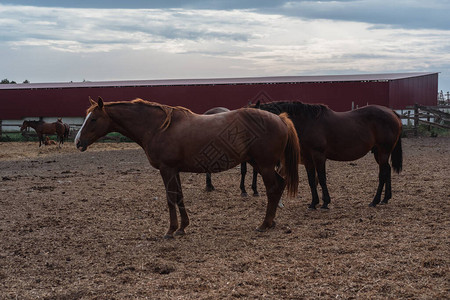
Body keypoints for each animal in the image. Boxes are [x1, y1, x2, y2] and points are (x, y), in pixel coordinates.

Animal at [75, 97, 300, 238]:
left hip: (264, 165)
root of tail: (280, 119)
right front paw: (183, 227)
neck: (158, 127)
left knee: (273, 189)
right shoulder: (175, 170)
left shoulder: (166, 169)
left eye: (93, 119)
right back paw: (271, 222)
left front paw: (170, 230)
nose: (78, 142)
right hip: (260, 164)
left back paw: (264, 224)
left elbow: (170, 198)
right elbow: (179, 197)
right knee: (279, 185)